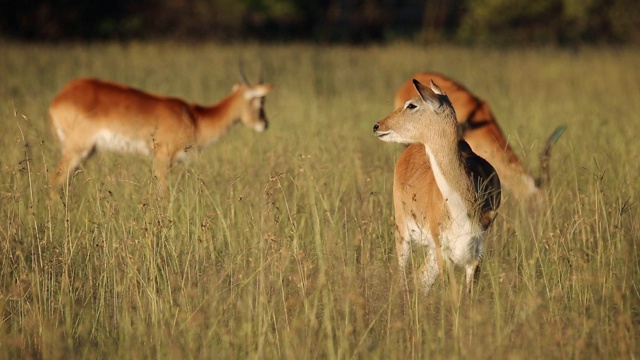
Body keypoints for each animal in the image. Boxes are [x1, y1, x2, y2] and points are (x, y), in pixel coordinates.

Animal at [48, 63, 272, 193]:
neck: (194, 118)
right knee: (54, 180)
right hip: (77, 149)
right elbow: (163, 192)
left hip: (85, 153)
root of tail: (58, 97)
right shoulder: (163, 157)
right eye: (260, 101)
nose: (264, 124)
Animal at [372, 79, 502, 296]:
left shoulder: (475, 256)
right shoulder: (443, 251)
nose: (377, 125)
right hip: (403, 233)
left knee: (419, 279)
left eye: (412, 105)